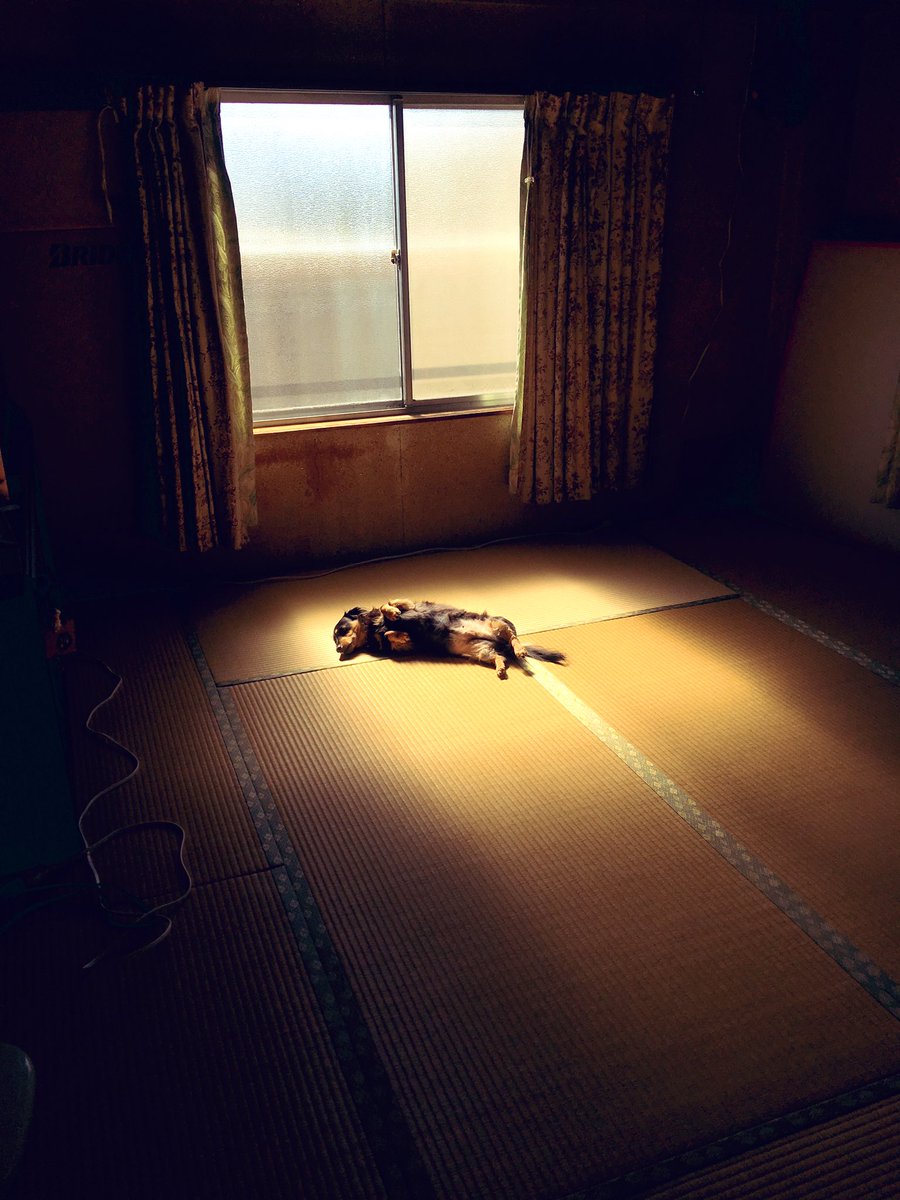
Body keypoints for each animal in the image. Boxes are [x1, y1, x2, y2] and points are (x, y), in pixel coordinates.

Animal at [332, 598, 566, 679]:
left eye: (340, 631)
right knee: (501, 657)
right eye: (335, 639)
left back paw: (520, 650)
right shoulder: (402, 646)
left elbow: (388, 604)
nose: (337, 650)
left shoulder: (411, 604)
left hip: (496, 623)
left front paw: (393, 613)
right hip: (481, 650)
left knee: (513, 637)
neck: (373, 629)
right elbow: (394, 636)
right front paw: (399, 633)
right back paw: (500, 668)